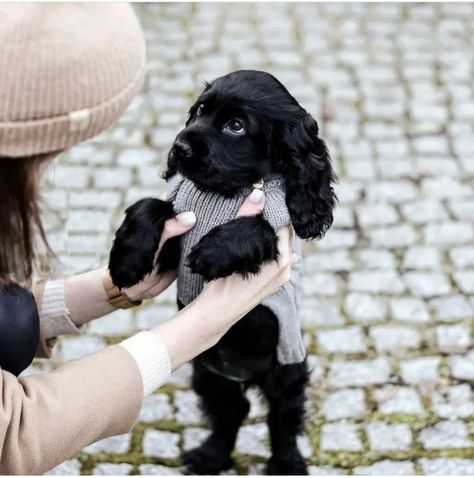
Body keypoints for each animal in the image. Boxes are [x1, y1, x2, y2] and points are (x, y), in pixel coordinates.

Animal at [109, 70, 336, 474]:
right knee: (233, 411)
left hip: (285, 369)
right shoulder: (178, 223)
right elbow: (151, 205)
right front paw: (126, 261)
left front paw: (211, 254)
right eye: (200, 110)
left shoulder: (280, 234)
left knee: (281, 417)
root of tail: (243, 373)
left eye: (236, 126)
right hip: (211, 376)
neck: (224, 191)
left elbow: (258, 226)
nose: (180, 147)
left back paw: (286, 464)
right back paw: (210, 456)